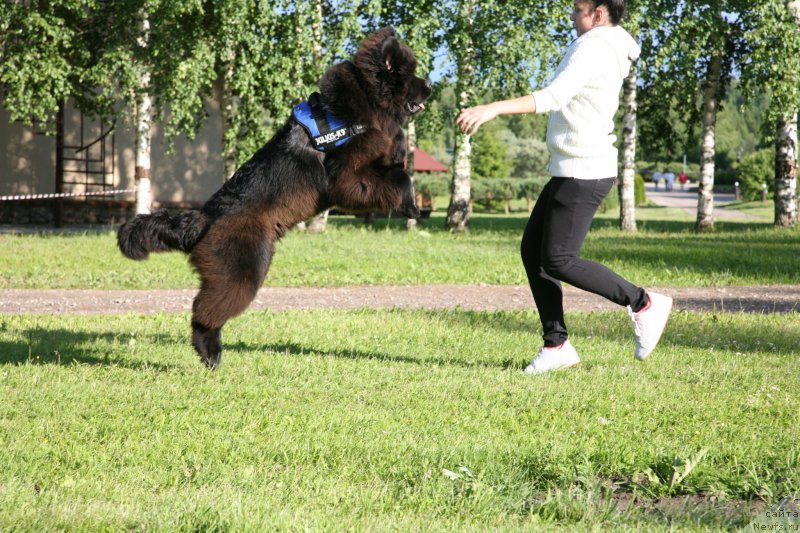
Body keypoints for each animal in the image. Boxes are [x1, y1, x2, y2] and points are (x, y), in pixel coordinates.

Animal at [117, 27, 432, 368]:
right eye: (410, 76)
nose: (431, 86)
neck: (366, 102)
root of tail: (204, 218)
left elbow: (397, 167)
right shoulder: (346, 177)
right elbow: (399, 178)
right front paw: (411, 206)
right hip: (243, 267)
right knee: (206, 312)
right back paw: (210, 353)